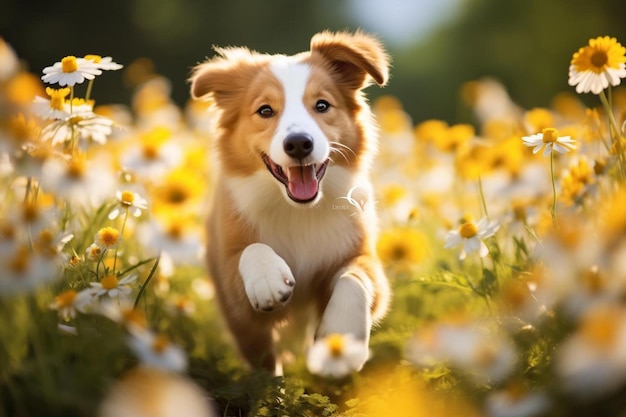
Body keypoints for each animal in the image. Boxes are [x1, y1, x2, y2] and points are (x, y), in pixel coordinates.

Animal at [188, 29, 388, 374]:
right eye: (265, 110)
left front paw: (340, 342)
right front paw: (268, 279)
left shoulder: (360, 255)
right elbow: (252, 250)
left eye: (322, 105)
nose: (298, 144)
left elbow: (354, 278)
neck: (298, 210)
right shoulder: (234, 292)